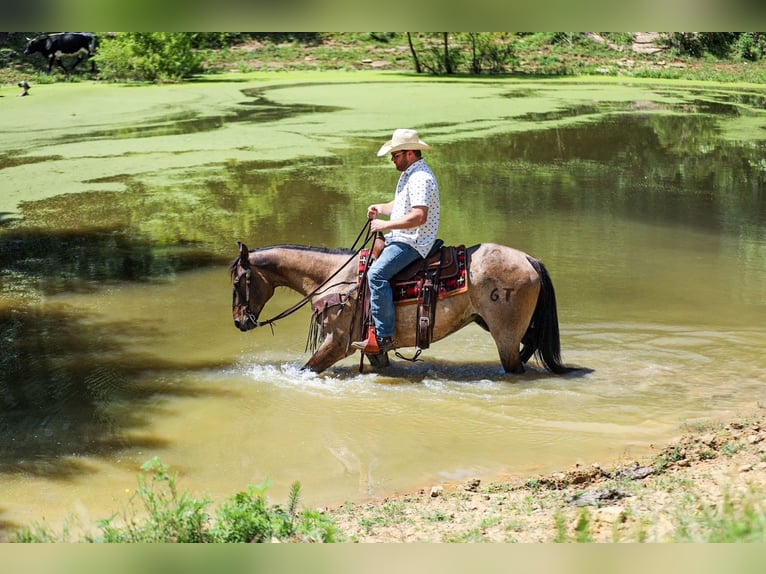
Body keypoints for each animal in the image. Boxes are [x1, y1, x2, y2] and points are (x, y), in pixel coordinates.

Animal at [230, 241, 574, 375]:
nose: (239, 322)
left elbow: (308, 368)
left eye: (237, 281)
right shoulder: (370, 348)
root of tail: (529, 258)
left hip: (504, 335)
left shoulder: (337, 343)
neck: (336, 278)